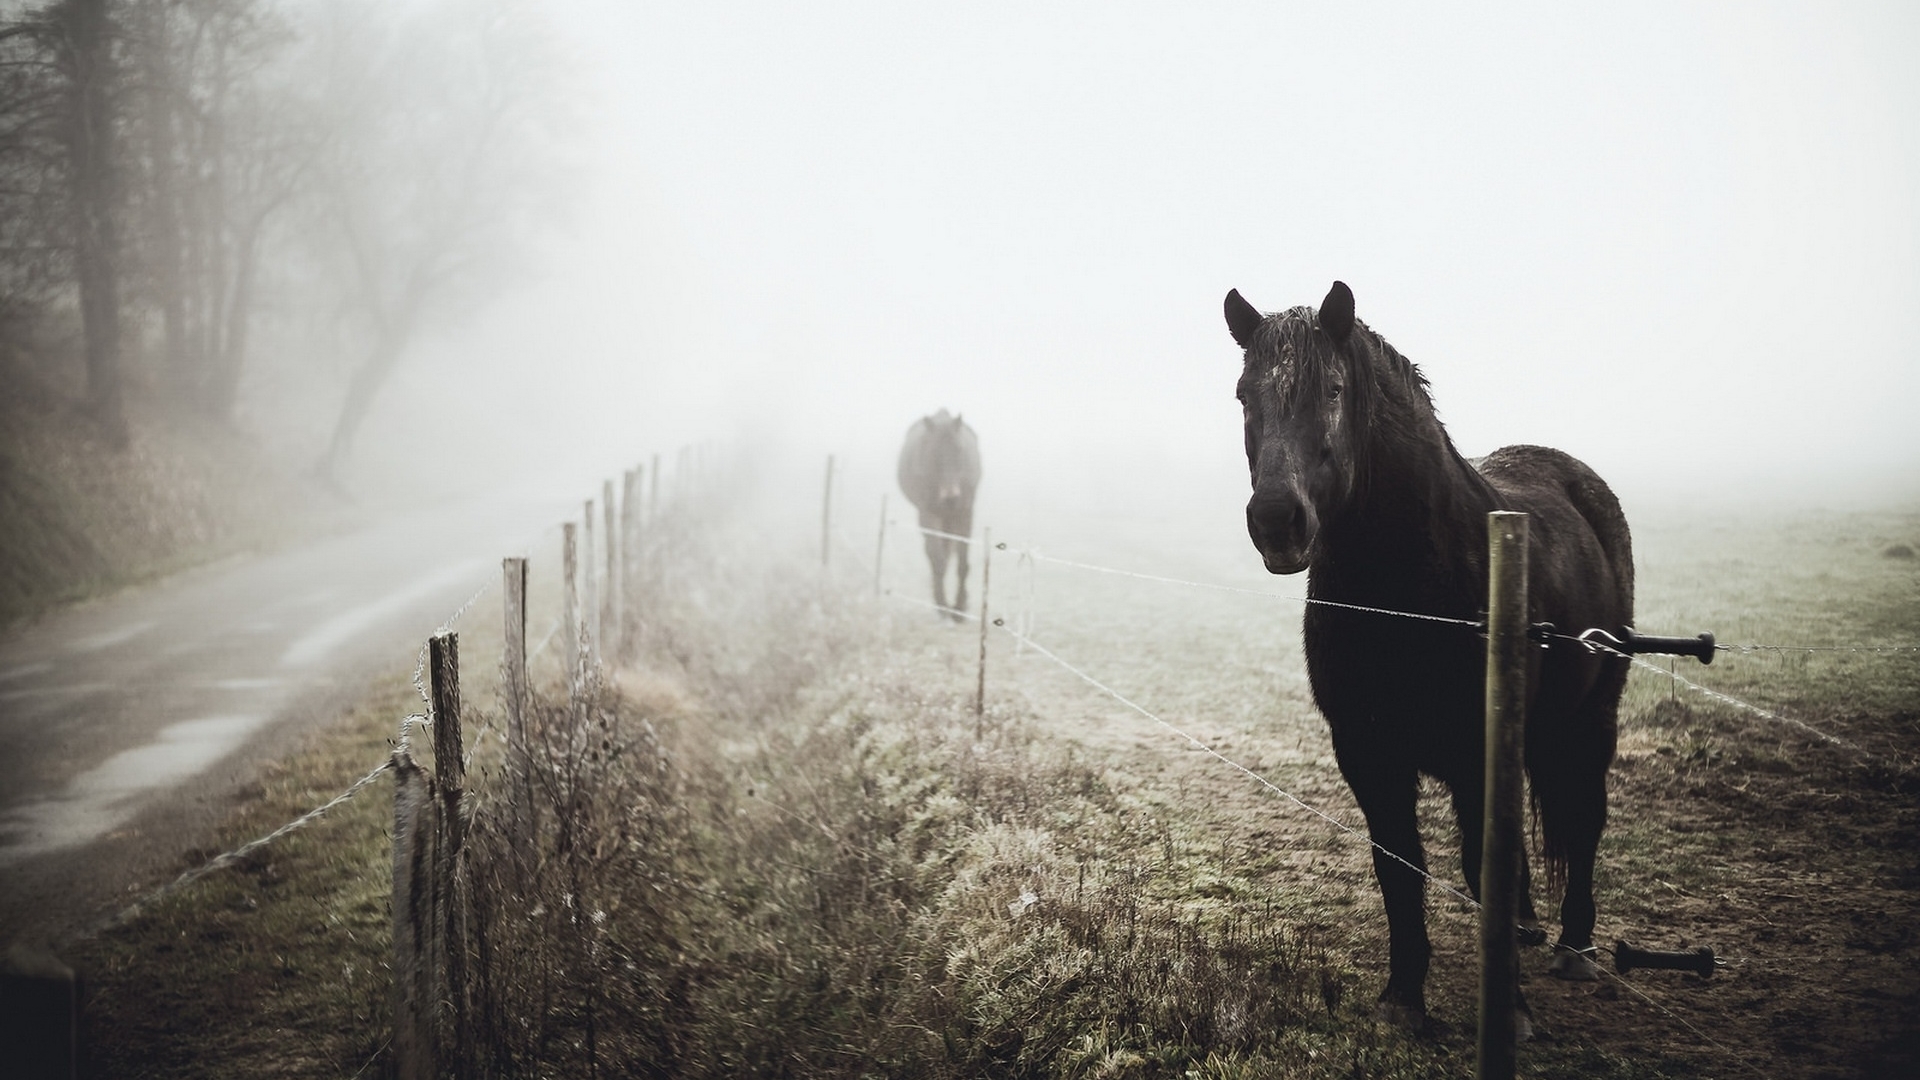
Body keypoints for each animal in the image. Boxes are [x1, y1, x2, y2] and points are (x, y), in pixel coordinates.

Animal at [897, 410, 982, 620]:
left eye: (959, 450)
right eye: (934, 453)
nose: (951, 497)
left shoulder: (965, 514)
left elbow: (962, 563)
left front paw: (960, 608)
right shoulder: (929, 514)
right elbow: (938, 559)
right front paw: (943, 607)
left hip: (950, 519)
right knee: (934, 553)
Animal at [1224, 281, 1633, 1035]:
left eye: (1333, 389)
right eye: (1243, 394)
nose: (1276, 522)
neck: (1408, 590)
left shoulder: (1473, 745)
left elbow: (1479, 859)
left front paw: (1509, 1010)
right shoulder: (1366, 750)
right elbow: (1399, 864)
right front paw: (1404, 998)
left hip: (1592, 717)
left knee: (1585, 816)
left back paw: (1575, 946)